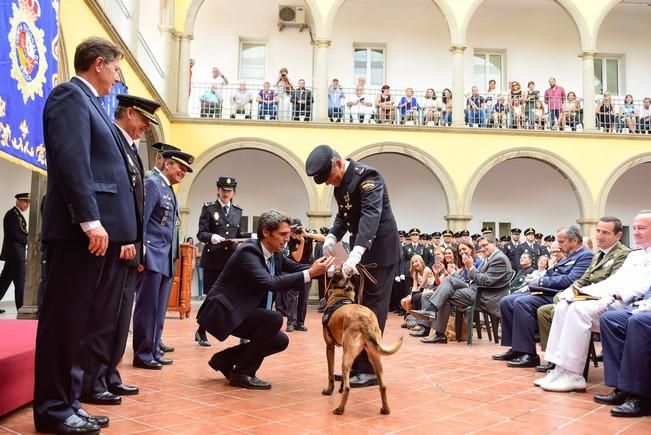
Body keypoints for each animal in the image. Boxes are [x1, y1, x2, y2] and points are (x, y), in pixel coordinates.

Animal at [320, 270, 402, 416]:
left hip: (347, 357)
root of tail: (364, 320)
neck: (340, 296)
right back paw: (385, 409)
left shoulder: (329, 347)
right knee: (383, 386)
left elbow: (330, 374)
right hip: (375, 358)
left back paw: (339, 409)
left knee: (348, 388)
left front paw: (329, 391)